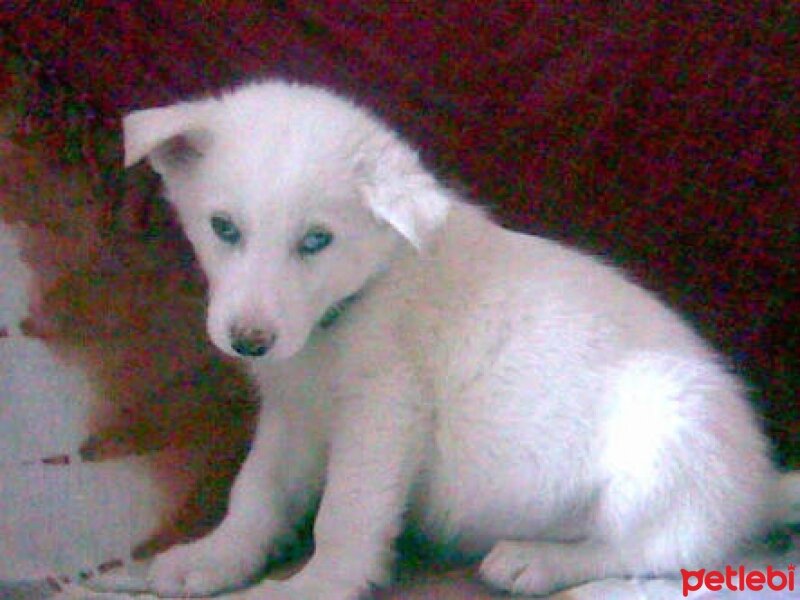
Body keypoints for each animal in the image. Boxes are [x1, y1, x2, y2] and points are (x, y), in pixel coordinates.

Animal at [122, 81, 796, 600]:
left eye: (316, 241)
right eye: (223, 228)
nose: (249, 341)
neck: (354, 301)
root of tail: (759, 485)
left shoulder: (383, 413)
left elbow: (343, 514)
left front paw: (314, 585)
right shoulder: (294, 415)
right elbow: (256, 491)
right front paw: (217, 554)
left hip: (667, 437)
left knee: (660, 548)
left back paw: (539, 559)